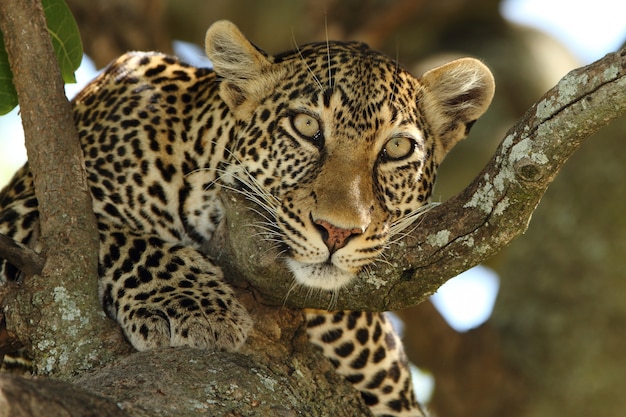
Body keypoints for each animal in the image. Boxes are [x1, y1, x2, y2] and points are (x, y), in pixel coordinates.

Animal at [0, 21, 492, 416]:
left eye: (397, 148)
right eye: (306, 127)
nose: (337, 232)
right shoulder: (21, 211)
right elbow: (112, 233)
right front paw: (190, 305)